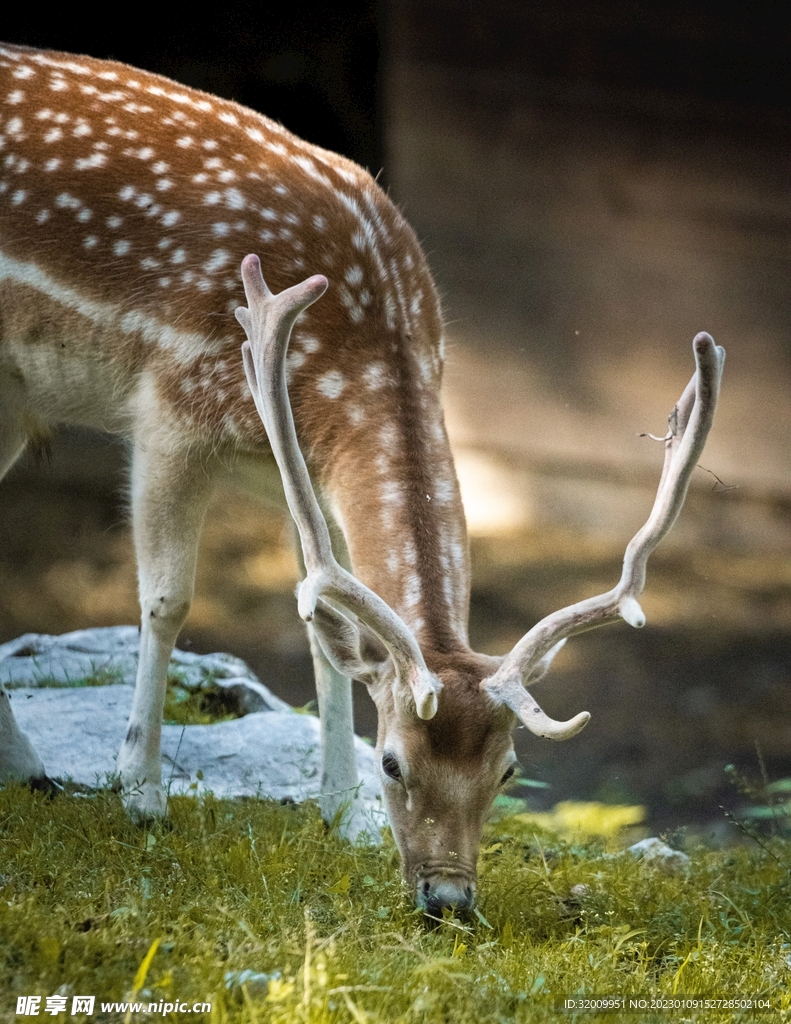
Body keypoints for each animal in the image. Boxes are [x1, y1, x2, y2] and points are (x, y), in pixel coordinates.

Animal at [0, 42, 724, 915]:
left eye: (506, 770)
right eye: (394, 762)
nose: (447, 899)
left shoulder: (299, 474)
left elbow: (323, 634)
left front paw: (340, 816)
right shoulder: (170, 412)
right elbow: (167, 601)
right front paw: (140, 794)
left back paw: (26, 770)